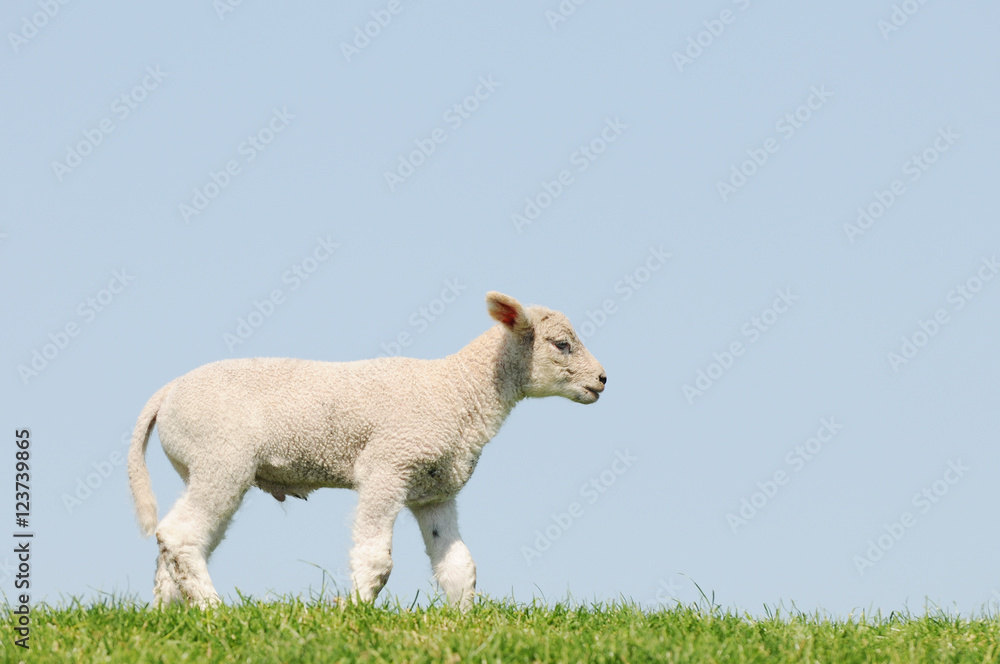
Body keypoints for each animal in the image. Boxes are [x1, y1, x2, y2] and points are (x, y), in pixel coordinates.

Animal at [128, 291, 606, 611]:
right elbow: (376, 558)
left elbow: (458, 566)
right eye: (562, 344)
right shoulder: (388, 466)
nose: (603, 380)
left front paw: (464, 621)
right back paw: (215, 612)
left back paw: (168, 616)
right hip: (221, 458)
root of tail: (167, 393)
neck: (458, 391)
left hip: (198, 464)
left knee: (174, 542)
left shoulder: (435, 489)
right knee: (181, 534)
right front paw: (356, 613)